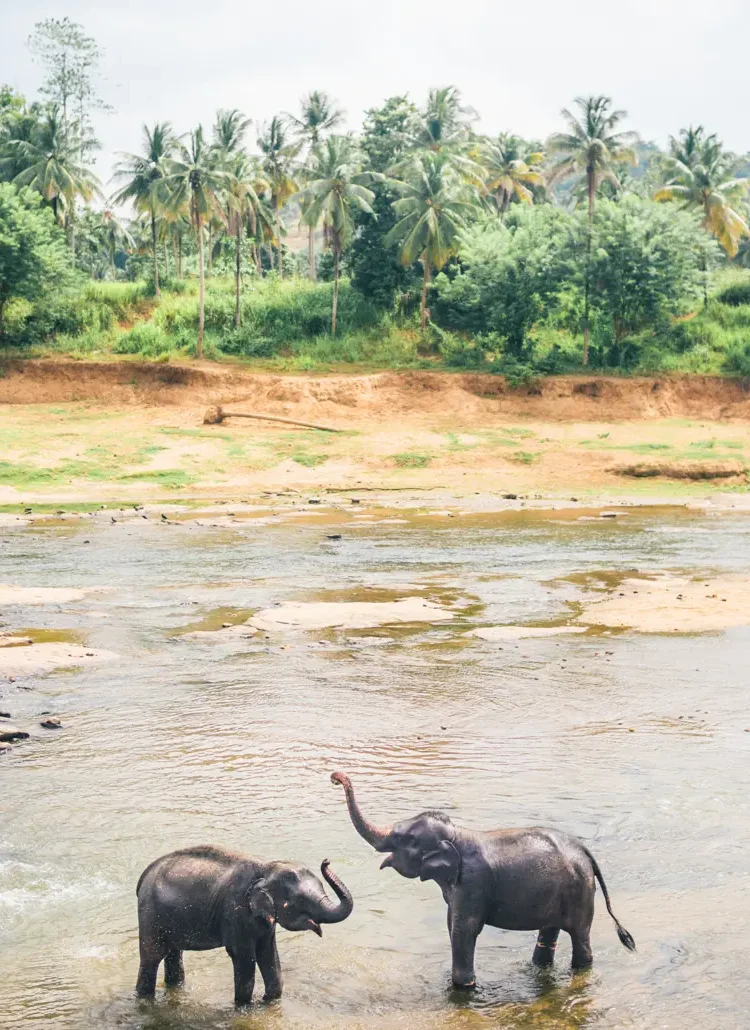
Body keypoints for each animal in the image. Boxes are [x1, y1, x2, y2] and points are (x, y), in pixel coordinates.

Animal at [135, 844, 354, 1005]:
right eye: (299, 901)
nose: (326, 861)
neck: (265, 867)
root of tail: (144, 876)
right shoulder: (235, 912)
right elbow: (244, 957)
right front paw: (244, 1005)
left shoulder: (264, 922)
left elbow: (268, 953)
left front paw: (269, 1001)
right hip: (150, 914)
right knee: (151, 957)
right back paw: (144, 997)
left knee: (174, 954)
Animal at [331, 774, 634, 988]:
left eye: (405, 839)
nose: (334, 778)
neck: (458, 833)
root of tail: (585, 851)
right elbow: (451, 923)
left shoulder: (473, 883)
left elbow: (464, 928)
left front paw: (463, 986)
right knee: (549, 931)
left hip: (580, 891)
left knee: (580, 935)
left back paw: (580, 968)